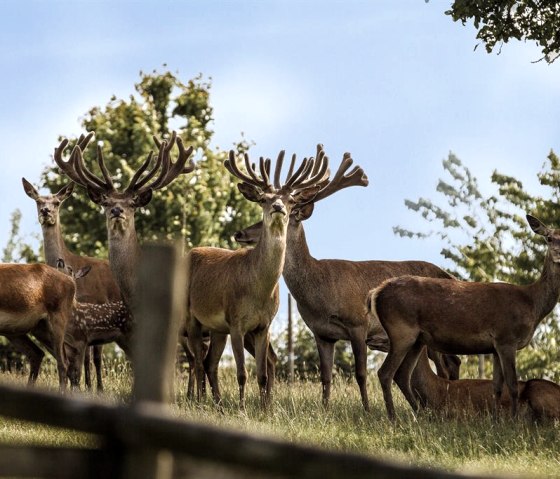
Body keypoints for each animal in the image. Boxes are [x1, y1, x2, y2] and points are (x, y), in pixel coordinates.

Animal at [23, 160, 122, 390]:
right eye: (38, 201)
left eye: (57, 202)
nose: (46, 211)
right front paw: (83, 386)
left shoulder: (96, 307)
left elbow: (94, 356)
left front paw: (97, 388)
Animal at [187, 147, 328, 408]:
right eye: (263, 198)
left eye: (291, 200)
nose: (278, 206)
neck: (258, 290)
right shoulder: (236, 321)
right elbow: (242, 373)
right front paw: (242, 407)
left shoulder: (264, 326)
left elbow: (261, 374)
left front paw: (264, 409)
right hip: (191, 316)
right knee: (198, 361)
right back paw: (200, 401)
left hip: (217, 328)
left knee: (210, 362)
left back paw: (218, 403)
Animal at [233, 146, 456, 412]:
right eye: (262, 204)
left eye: (291, 209)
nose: (240, 233)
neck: (320, 292)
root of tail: (450, 275)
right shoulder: (322, 333)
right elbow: (325, 375)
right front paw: (325, 408)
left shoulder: (358, 323)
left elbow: (360, 374)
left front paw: (367, 410)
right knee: (451, 362)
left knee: (447, 365)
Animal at [370, 216, 560, 422]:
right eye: (549, 238)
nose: (558, 253)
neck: (532, 304)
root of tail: (376, 292)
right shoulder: (506, 338)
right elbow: (513, 385)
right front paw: (513, 422)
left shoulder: (495, 347)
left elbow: (497, 387)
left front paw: (496, 421)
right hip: (401, 331)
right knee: (385, 373)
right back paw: (393, 418)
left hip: (416, 340)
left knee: (402, 374)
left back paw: (420, 416)